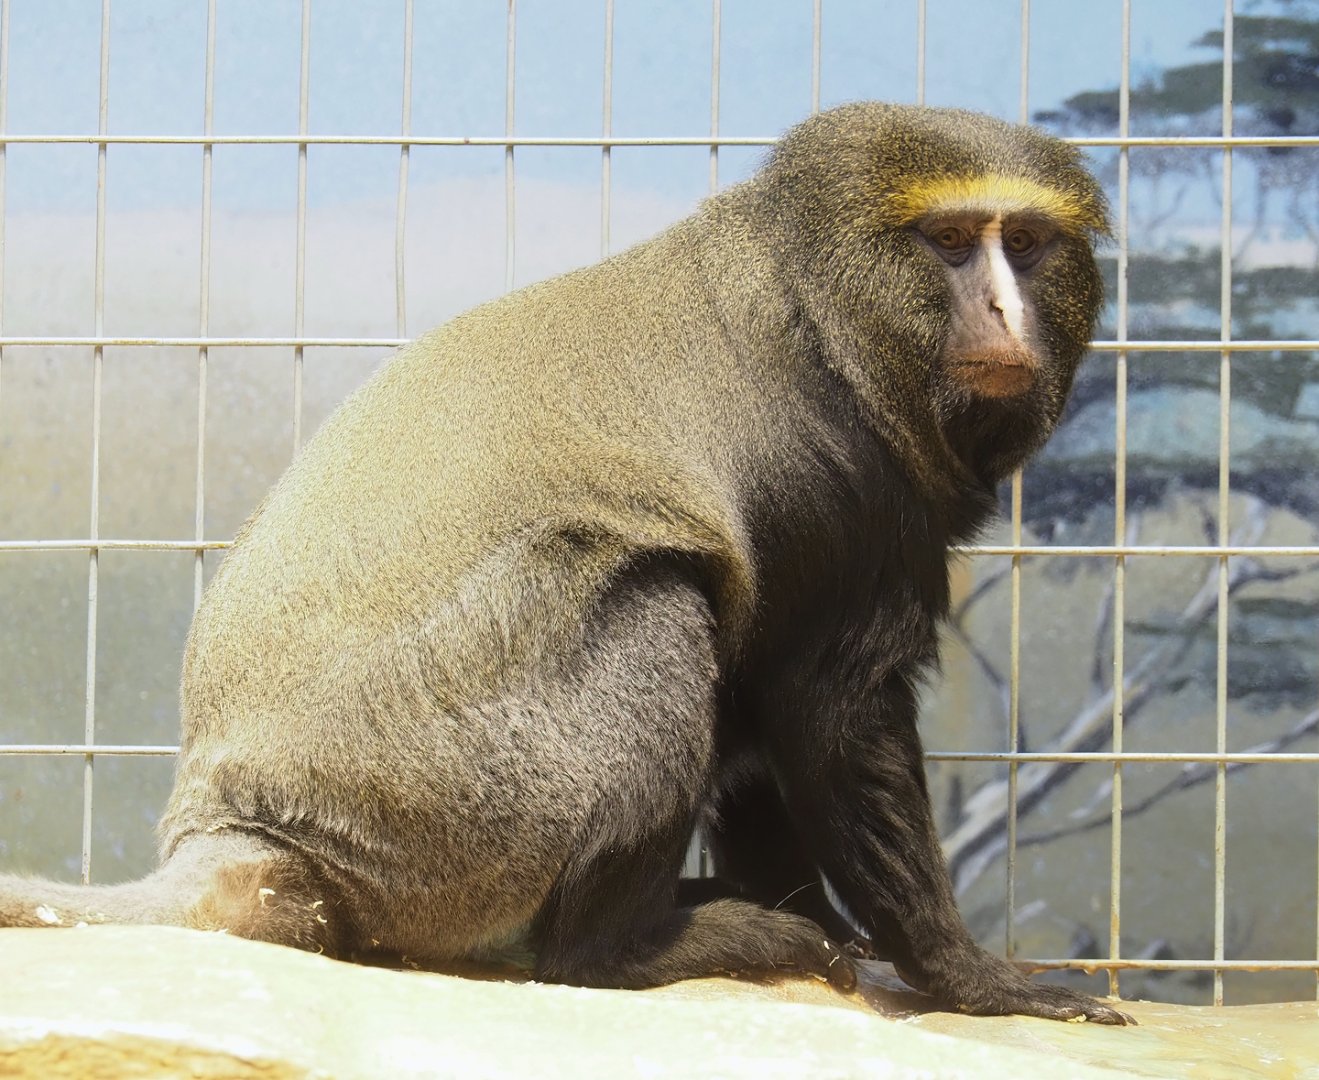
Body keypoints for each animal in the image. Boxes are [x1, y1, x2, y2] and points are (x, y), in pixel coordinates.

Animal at [0, 102, 1132, 1024]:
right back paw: (630, 946)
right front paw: (970, 977)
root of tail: (246, 825)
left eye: (1025, 244)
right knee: (655, 603)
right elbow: (832, 714)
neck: (821, 308)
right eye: (948, 242)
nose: (1004, 314)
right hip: (469, 813)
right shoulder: (849, 495)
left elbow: (765, 729)